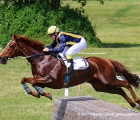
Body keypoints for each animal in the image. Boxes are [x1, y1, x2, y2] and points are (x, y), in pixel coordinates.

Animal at [0, 34, 140, 109]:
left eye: (11, 46)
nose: (1, 58)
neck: (41, 59)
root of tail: (107, 60)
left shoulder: (50, 80)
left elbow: (33, 82)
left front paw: (41, 93)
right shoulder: (42, 80)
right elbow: (25, 80)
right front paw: (39, 93)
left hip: (108, 79)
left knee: (126, 83)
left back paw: (137, 101)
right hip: (100, 85)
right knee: (120, 90)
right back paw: (134, 105)